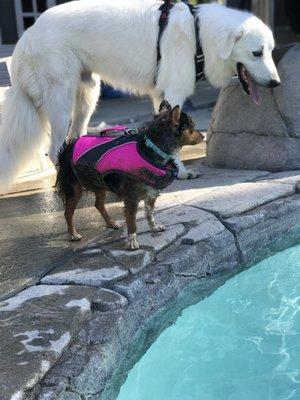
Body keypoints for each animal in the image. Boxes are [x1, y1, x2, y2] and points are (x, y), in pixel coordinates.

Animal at [0, 1, 280, 192]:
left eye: (270, 51)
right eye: (257, 53)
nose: (276, 83)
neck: (199, 34)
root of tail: (28, 34)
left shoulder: (162, 96)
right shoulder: (175, 92)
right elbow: (174, 141)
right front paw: (181, 172)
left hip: (88, 94)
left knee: (73, 138)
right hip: (61, 99)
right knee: (54, 146)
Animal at [56, 101, 204, 250]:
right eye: (192, 127)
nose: (203, 136)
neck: (152, 150)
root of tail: (69, 146)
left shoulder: (151, 193)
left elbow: (149, 213)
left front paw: (154, 227)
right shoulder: (131, 198)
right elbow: (132, 222)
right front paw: (132, 241)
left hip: (99, 183)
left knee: (98, 204)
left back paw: (111, 223)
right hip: (74, 188)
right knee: (68, 212)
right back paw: (73, 234)